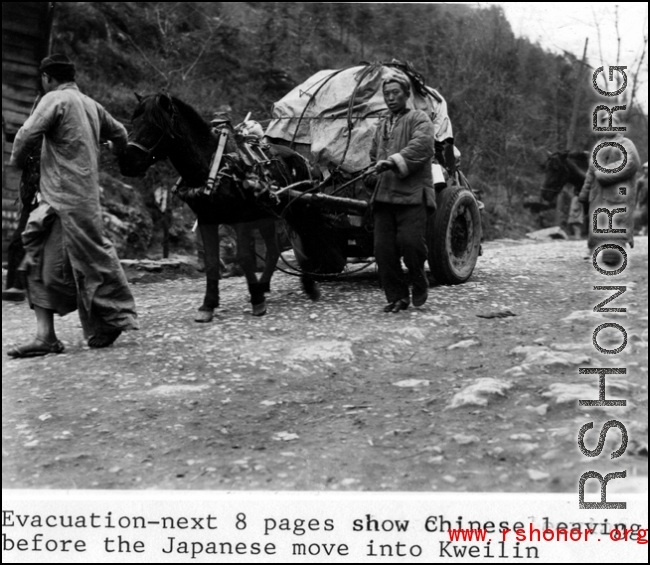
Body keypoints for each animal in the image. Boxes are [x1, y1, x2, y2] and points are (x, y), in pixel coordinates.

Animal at [117, 93, 340, 322]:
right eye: (133, 121)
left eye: (154, 125)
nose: (126, 161)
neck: (213, 165)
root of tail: (299, 157)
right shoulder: (207, 219)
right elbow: (211, 262)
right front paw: (209, 304)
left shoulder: (240, 218)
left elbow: (244, 257)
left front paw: (257, 301)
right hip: (266, 215)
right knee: (274, 249)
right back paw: (264, 284)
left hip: (296, 209)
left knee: (307, 236)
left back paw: (310, 284)